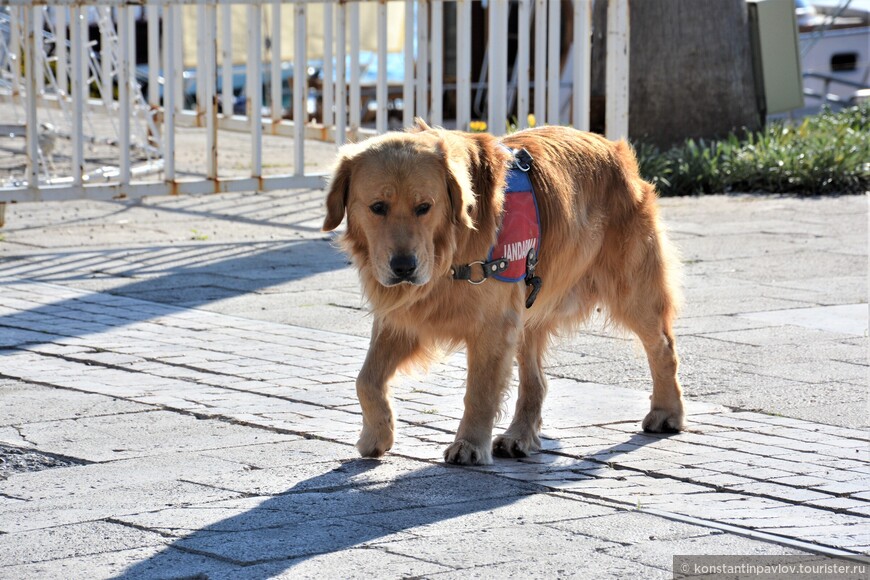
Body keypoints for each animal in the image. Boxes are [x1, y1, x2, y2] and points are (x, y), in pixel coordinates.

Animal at [324, 122, 684, 466]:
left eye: (424, 207)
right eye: (377, 207)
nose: (403, 267)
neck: (450, 252)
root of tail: (614, 148)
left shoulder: (493, 324)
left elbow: (479, 391)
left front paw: (469, 444)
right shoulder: (404, 315)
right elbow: (366, 380)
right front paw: (378, 433)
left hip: (632, 290)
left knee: (662, 347)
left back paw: (667, 412)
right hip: (528, 306)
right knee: (536, 381)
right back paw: (519, 436)